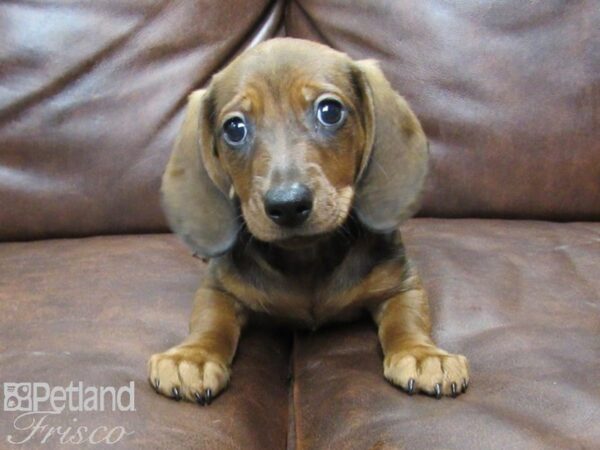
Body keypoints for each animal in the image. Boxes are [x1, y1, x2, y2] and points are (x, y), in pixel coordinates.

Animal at [149, 37, 468, 404]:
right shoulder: (218, 289)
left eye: (329, 111)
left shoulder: (402, 284)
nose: (287, 205)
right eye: (234, 128)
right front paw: (193, 356)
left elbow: (408, 319)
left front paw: (422, 354)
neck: (307, 257)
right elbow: (210, 320)